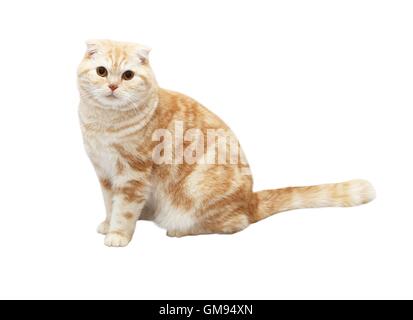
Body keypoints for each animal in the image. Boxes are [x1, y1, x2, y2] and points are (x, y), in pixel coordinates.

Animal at [76, 38, 374, 246]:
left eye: (127, 75)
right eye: (102, 71)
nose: (113, 86)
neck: (104, 123)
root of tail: (250, 198)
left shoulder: (132, 176)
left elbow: (124, 210)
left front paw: (118, 234)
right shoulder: (105, 173)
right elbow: (110, 203)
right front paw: (108, 223)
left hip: (196, 193)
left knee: (235, 223)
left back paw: (178, 230)